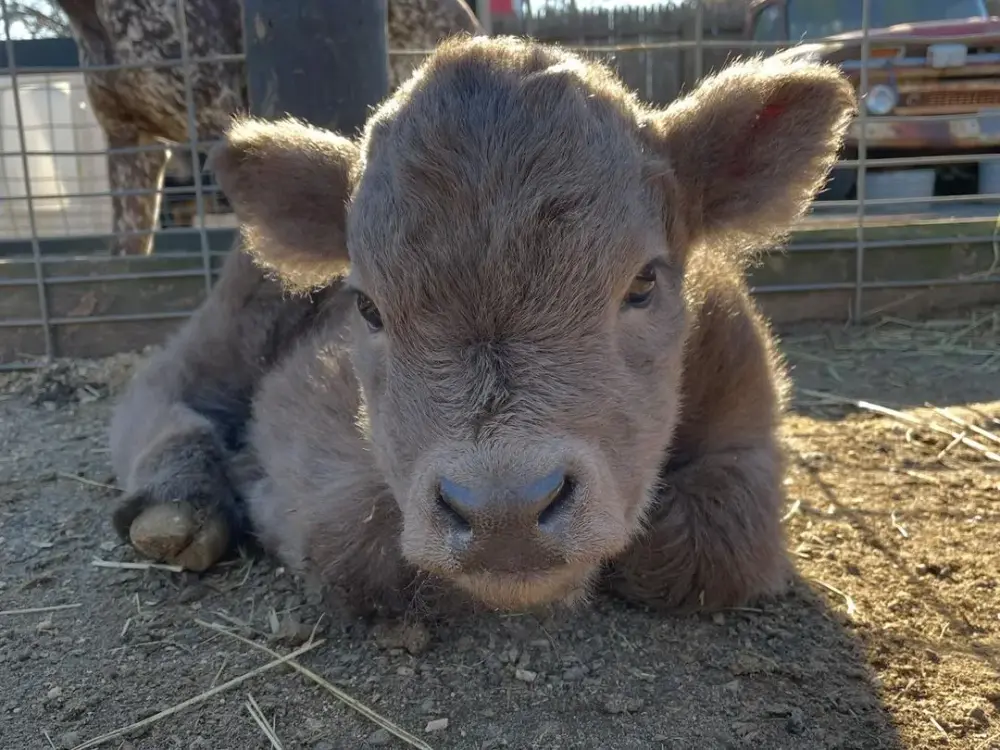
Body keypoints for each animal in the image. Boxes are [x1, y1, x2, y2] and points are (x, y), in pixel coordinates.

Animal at [108, 36, 856, 618]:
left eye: (644, 282)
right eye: (368, 307)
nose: (505, 515)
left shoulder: (750, 425)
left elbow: (715, 543)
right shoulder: (301, 411)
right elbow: (352, 537)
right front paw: (259, 491)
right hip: (232, 327)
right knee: (164, 389)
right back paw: (176, 507)